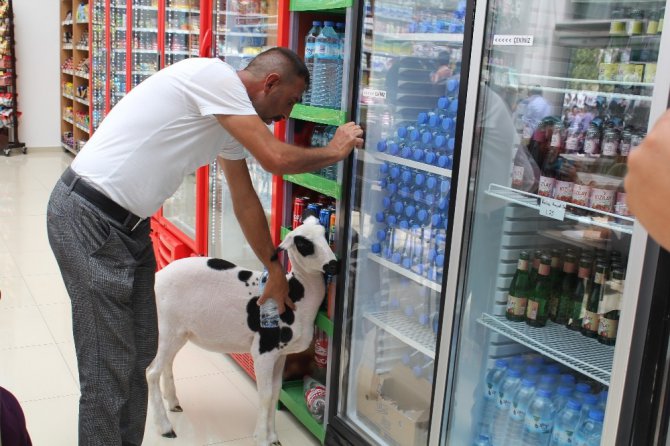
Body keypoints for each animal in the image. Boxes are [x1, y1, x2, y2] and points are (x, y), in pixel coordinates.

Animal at [145, 217, 338, 446]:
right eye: (303, 244)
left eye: (324, 235)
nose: (334, 264)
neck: (296, 295)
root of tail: (158, 276)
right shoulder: (263, 351)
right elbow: (265, 395)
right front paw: (262, 438)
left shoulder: (280, 354)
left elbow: (275, 393)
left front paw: (273, 437)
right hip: (165, 329)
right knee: (151, 373)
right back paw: (165, 427)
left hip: (178, 332)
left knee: (167, 362)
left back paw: (173, 402)